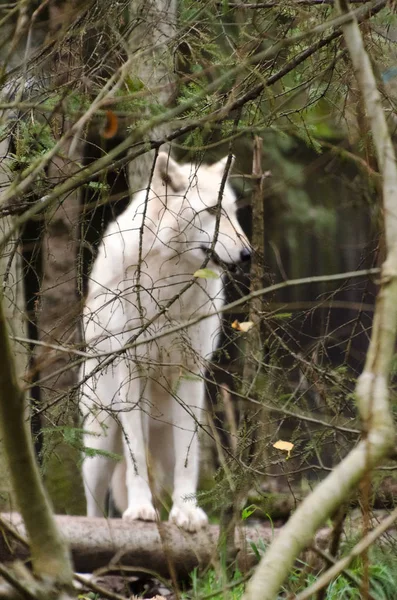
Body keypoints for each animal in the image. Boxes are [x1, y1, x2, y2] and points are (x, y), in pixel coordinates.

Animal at [79, 152, 249, 532]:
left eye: (233, 212)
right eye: (213, 210)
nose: (249, 254)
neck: (168, 282)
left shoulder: (190, 373)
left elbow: (187, 464)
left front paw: (187, 514)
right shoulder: (131, 370)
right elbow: (136, 461)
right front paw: (140, 510)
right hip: (101, 440)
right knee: (94, 504)